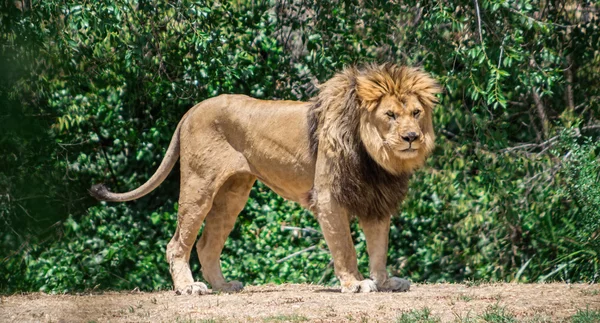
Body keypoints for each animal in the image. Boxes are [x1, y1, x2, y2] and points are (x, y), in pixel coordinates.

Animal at [91, 63, 442, 296]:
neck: (377, 158)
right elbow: (345, 247)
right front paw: (354, 283)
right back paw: (189, 287)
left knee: (206, 244)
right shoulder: (329, 196)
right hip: (199, 186)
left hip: (232, 196)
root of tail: (192, 109)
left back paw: (223, 285)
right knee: (177, 243)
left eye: (416, 113)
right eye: (390, 115)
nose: (412, 138)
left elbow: (379, 248)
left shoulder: (376, 199)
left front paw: (386, 282)